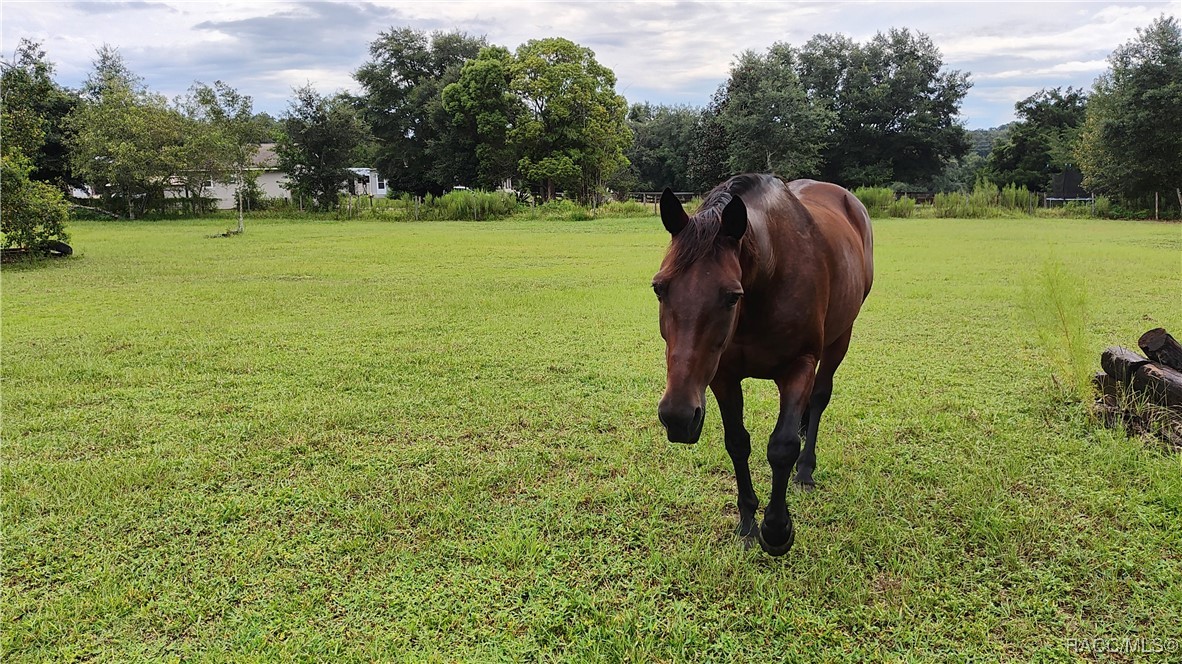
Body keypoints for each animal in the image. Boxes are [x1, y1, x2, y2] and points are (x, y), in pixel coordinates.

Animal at [652, 171, 874, 552]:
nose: (678, 417)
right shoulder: (723, 377)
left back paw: (806, 470)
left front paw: (777, 529)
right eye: (659, 288)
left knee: (819, 399)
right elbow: (737, 443)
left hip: (840, 338)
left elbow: (782, 446)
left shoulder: (799, 366)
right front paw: (747, 523)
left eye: (731, 296)